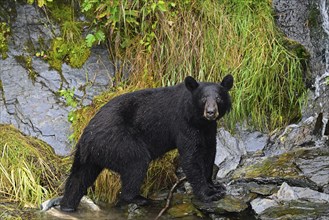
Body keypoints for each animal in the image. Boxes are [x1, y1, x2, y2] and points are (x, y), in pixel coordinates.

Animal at [59, 74, 233, 211]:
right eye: (203, 99)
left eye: (219, 98)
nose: (211, 112)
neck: (198, 119)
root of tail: (86, 137)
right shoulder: (184, 124)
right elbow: (191, 158)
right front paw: (209, 194)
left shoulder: (208, 128)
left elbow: (209, 152)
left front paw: (214, 185)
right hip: (119, 142)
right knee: (136, 163)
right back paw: (138, 198)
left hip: (89, 157)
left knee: (78, 178)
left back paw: (67, 205)